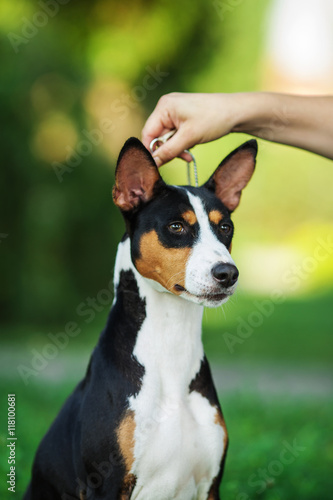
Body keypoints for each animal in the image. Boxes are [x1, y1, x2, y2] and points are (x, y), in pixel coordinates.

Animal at [24, 137, 256, 500]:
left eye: (225, 227)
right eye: (176, 226)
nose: (228, 273)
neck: (171, 351)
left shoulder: (210, 485)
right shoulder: (105, 484)